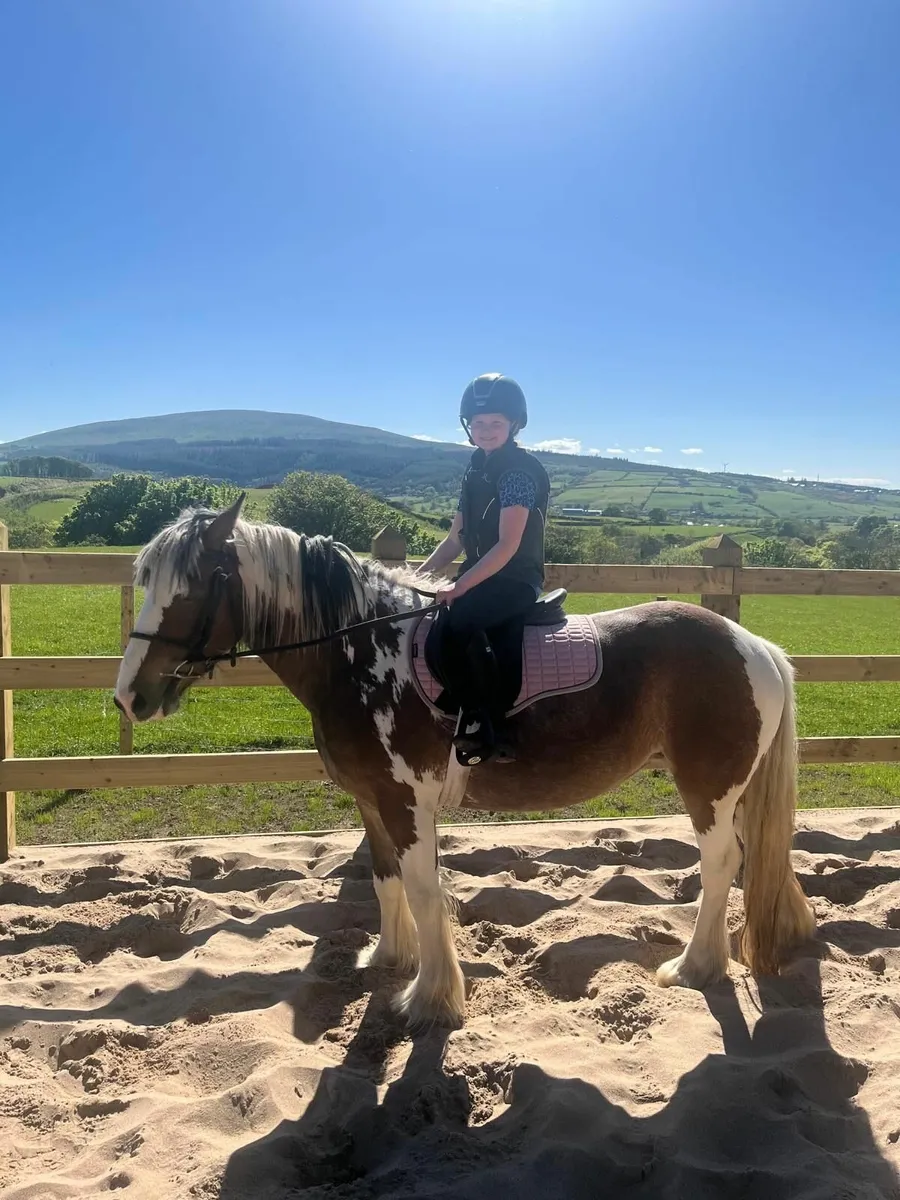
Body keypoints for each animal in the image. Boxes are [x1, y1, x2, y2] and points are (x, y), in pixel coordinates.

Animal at [114, 496, 815, 1028]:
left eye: (197, 585)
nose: (130, 696)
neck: (358, 650)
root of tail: (752, 644)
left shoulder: (406, 802)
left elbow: (425, 890)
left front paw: (429, 999)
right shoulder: (372, 799)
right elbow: (385, 878)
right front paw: (388, 961)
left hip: (709, 788)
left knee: (722, 861)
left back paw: (694, 967)